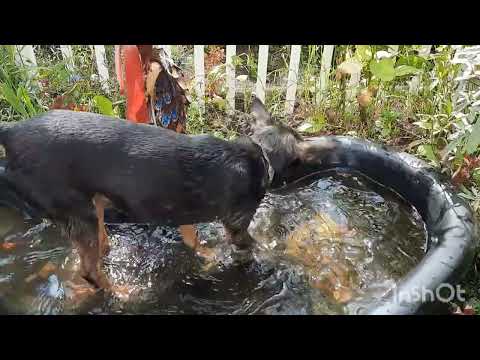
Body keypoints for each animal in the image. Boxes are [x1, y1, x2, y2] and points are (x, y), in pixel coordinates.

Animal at [0, 97, 306, 290]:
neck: (261, 153)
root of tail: (11, 131)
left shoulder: (181, 211)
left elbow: (192, 238)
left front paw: (207, 256)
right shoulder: (237, 226)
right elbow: (258, 246)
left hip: (93, 203)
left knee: (97, 248)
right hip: (76, 211)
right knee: (89, 271)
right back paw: (122, 294)